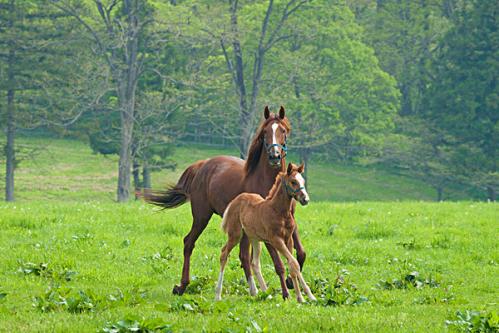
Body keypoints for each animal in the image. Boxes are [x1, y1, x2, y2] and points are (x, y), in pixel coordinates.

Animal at [216, 162, 316, 302]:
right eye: (293, 182)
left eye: (303, 181)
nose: (305, 199)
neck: (279, 211)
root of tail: (235, 201)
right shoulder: (276, 240)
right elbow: (294, 263)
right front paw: (310, 295)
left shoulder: (288, 239)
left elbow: (292, 265)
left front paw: (300, 298)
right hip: (235, 235)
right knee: (224, 253)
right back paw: (218, 294)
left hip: (254, 239)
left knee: (254, 263)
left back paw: (263, 292)